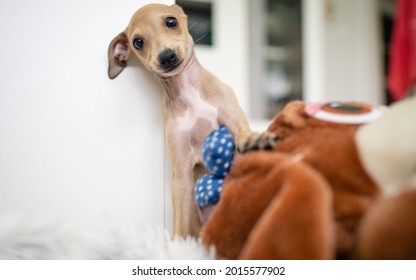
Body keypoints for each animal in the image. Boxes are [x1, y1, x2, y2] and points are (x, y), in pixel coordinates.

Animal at [107, 3, 276, 237]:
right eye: (138, 42)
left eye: (171, 21)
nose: (166, 56)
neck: (189, 93)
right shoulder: (182, 176)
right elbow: (180, 227)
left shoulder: (233, 120)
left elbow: (243, 133)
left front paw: (254, 139)